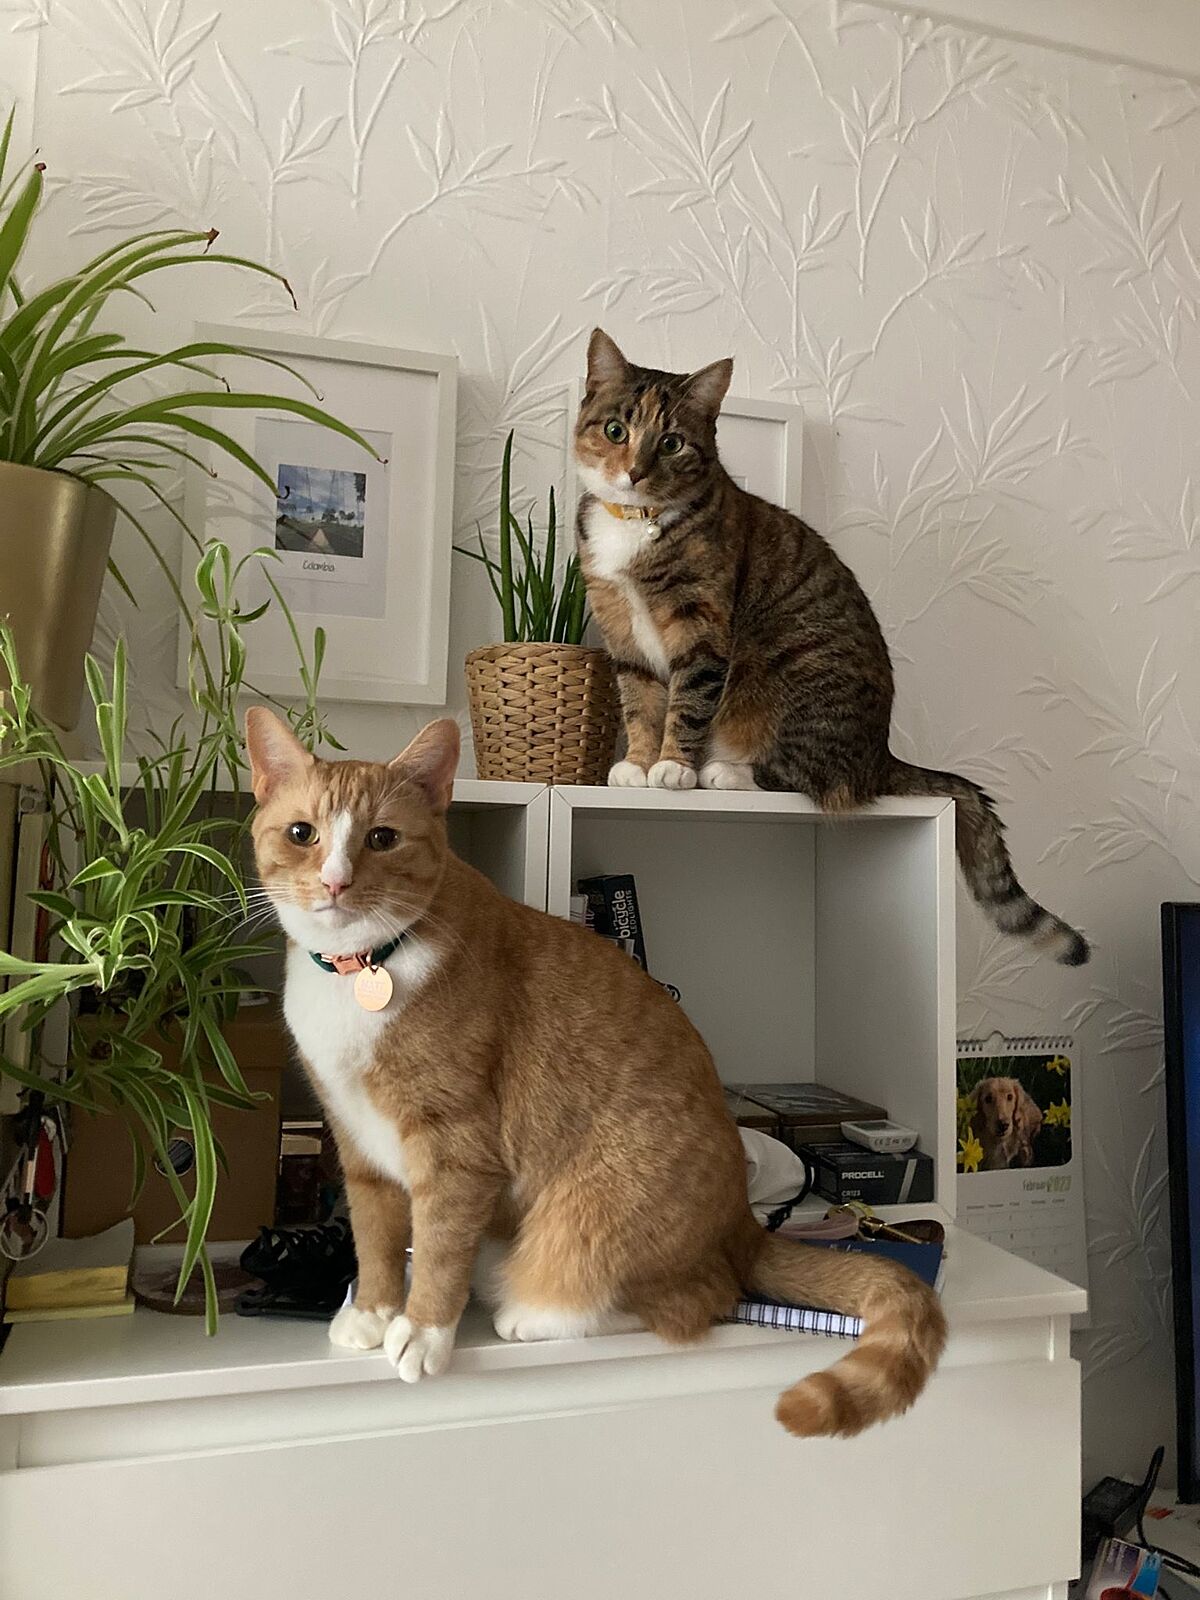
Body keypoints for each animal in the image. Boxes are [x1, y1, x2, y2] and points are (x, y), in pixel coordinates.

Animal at [245, 707, 946, 1437]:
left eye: (382, 838)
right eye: (302, 834)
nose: (335, 882)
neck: (362, 968)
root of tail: (741, 1224)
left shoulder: (455, 1148)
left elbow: (436, 1243)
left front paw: (423, 1330)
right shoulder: (359, 1146)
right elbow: (378, 1240)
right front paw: (375, 1312)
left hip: (591, 1215)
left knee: (696, 1299)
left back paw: (533, 1316)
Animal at [574, 329, 1089, 967]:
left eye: (671, 443)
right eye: (616, 430)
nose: (634, 474)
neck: (636, 524)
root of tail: (882, 755)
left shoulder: (702, 630)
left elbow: (686, 702)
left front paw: (672, 767)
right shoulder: (621, 632)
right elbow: (640, 702)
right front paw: (639, 764)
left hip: (795, 674)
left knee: (819, 780)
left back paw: (724, 772)